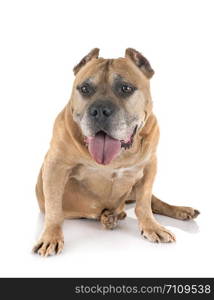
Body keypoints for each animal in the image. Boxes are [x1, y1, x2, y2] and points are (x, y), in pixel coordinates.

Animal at [32, 48, 200, 255]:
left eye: (125, 88)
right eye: (85, 89)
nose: (99, 110)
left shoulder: (149, 167)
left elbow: (144, 204)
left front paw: (152, 226)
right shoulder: (56, 166)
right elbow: (54, 208)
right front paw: (51, 237)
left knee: (154, 202)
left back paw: (181, 210)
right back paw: (110, 217)